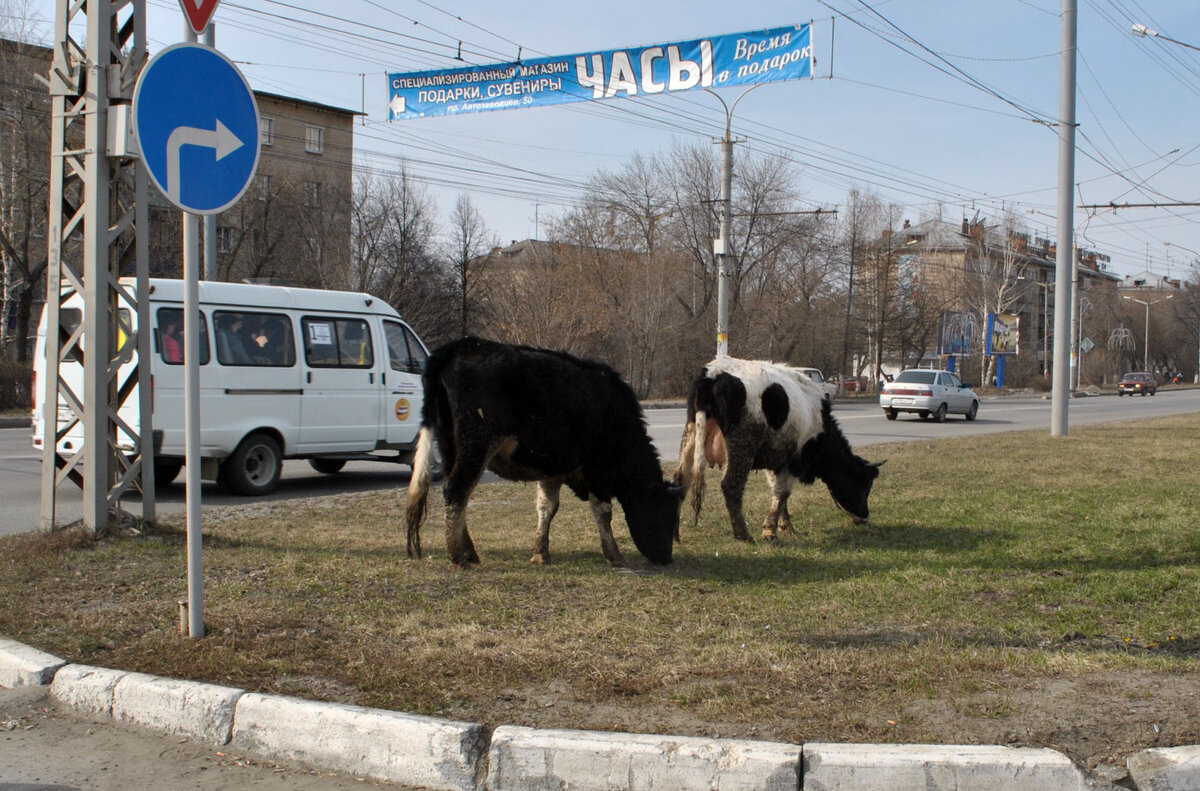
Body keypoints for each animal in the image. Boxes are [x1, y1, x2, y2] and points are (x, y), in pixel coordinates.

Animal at [405, 338, 681, 566]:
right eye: (666, 513)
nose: (666, 557)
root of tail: (461, 346)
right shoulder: (599, 468)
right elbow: (603, 511)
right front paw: (614, 555)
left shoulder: (552, 468)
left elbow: (547, 508)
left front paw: (540, 553)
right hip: (476, 444)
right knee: (457, 490)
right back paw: (458, 556)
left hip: (449, 447)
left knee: (458, 496)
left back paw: (469, 551)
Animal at [676, 360, 883, 542]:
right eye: (864, 484)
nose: (866, 516)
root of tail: (714, 375)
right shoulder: (795, 460)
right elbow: (783, 492)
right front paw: (770, 531)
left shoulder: (777, 460)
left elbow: (778, 493)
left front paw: (785, 526)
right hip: (742, 446)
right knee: (731, 485)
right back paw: (743, 534)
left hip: (691, 436)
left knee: (680, 479)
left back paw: (675, 534)